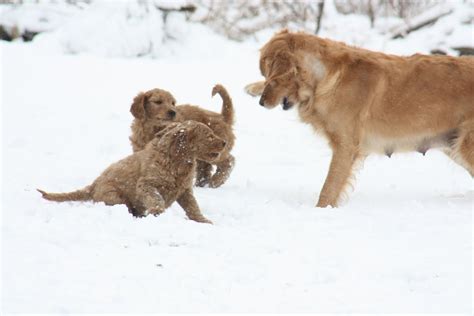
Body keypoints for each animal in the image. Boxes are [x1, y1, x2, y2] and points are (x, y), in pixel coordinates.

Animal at [39, 121, 228, 225]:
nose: (225, 142)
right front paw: (157, 212)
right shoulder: (146, 184)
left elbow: (193, 207)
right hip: (114, 196)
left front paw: (203, 221)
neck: (178, 161)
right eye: (209, 136)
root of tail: (92, 186)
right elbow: (156, 198)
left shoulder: (184, 190)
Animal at [246, 29, 472, 207]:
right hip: (454, 147)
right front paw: (252, 87)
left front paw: (320, 211)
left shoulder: (345, 146)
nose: (261, 103)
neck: (324, 79)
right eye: (265, 76)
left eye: (271, 77)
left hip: (464, 147)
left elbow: (328, 189)